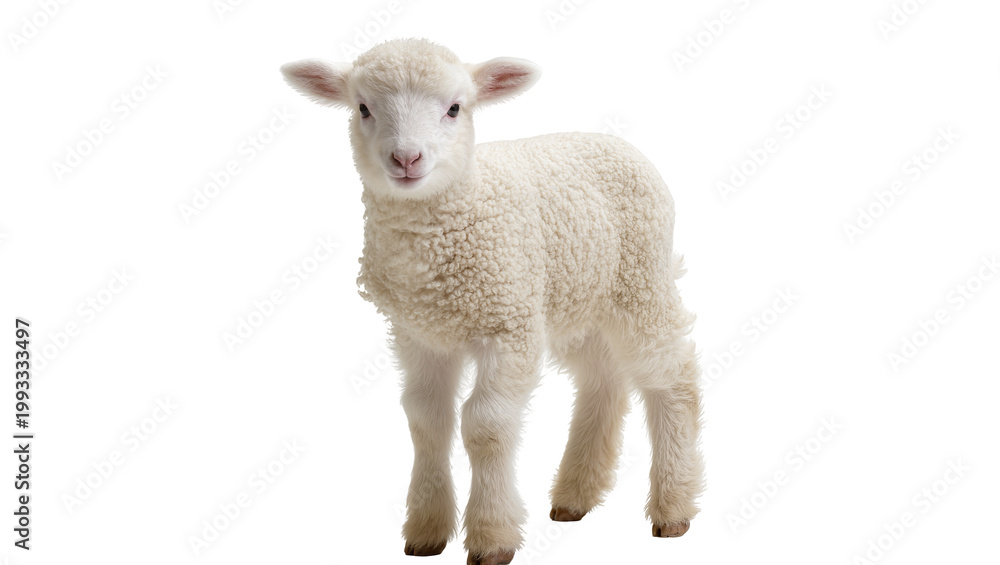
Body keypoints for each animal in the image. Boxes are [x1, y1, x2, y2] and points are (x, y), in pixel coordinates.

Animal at [281, 38, 704, 565]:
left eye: (454, 108)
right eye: (363, 108)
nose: (406, 158)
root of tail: (612, 141)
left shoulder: (508, 324)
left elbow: (485, 426)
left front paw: (491, 536)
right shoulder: (420, 334)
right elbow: (425, 420)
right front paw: (426, 530)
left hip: (639, 279)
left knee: (673, 377)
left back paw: (673, 506)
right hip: (577, 298)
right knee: (602, 380)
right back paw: (575, 496)